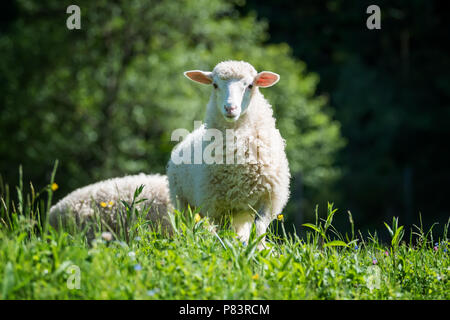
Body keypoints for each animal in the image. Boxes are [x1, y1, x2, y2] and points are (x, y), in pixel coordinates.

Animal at [167, 60, 290, 246]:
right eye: (215, 85)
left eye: (250, 85)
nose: (230, 108)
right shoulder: (217, 206)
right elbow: (224, 234)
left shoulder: (268, 199)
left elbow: (259, 228)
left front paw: (259, 248)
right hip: (183, 202)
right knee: (187, 227)